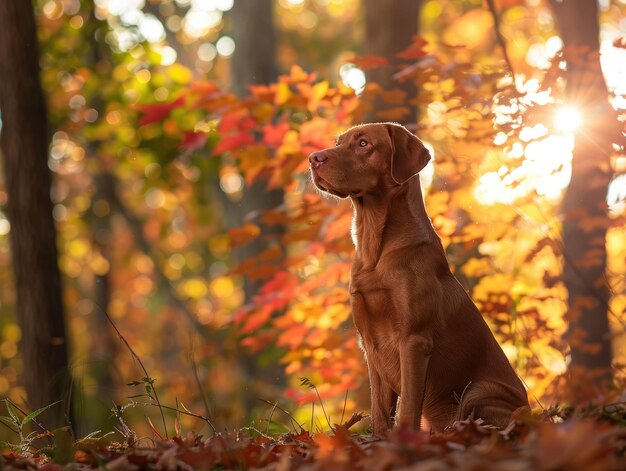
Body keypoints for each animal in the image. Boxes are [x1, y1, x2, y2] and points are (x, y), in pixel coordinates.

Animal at [308, 122, 528, 436]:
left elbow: (408, 407)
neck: (374, 249)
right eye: (339, 142)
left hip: (477, 393)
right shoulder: (370, 345)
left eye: (363, 143)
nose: (313, 158)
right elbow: (379, 411)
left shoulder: (413, 339)